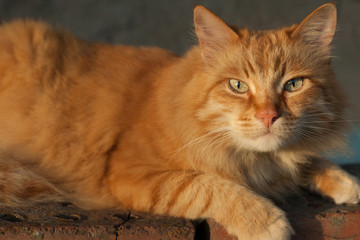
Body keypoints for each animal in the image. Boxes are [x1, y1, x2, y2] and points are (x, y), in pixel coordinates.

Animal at [0, 2, 360, 240]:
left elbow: (310, 159)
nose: (268, 116)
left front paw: (345, 183)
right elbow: (206, 187)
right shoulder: (132, 174)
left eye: (293, 85)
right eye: (238, 86)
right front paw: (267, 222)